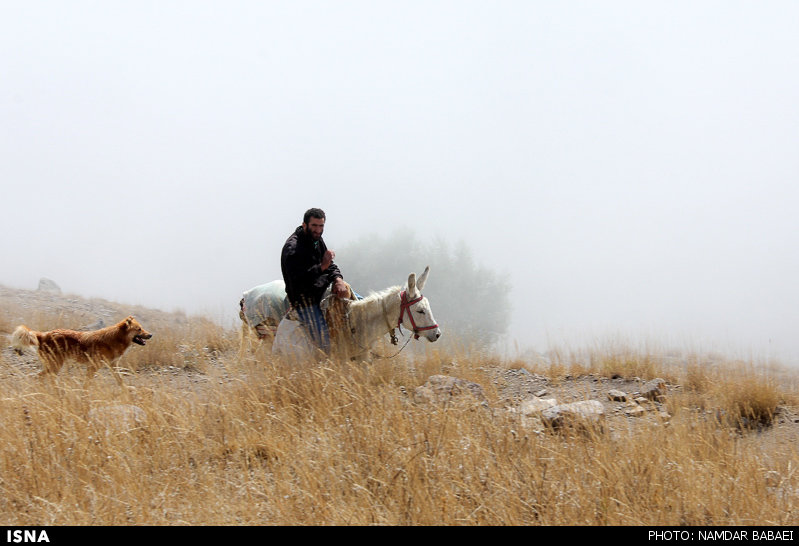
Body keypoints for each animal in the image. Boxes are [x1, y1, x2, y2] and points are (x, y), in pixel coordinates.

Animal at [11, 314, 153, 382]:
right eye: (139, 329)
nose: (151, 335)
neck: (116, 338)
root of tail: (43, 335)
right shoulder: (93, 366)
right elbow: (87, 384)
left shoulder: (113, 366)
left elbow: (120, 382)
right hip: (55, 365)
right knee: (40, 376)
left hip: (54, 366)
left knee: (41, 376)